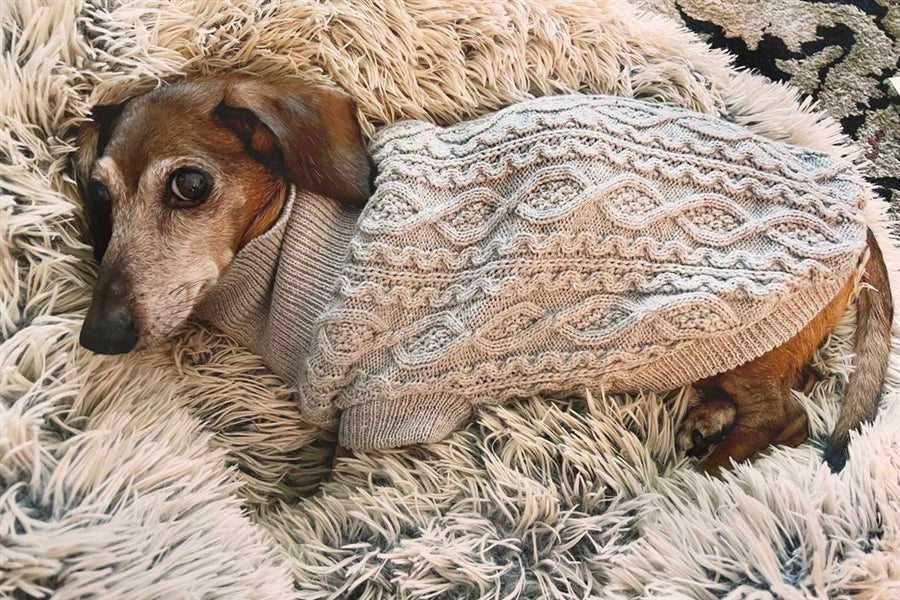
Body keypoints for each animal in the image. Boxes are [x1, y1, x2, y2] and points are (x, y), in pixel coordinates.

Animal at [72, 78, 892, 474]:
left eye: (189, 185)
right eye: (99, 195)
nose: (99, 334)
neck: (286, 247)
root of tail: (858, 210)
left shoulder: (392, 413)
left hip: (734, 329)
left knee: (789, 417)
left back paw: (711, 467)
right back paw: (708, 419)